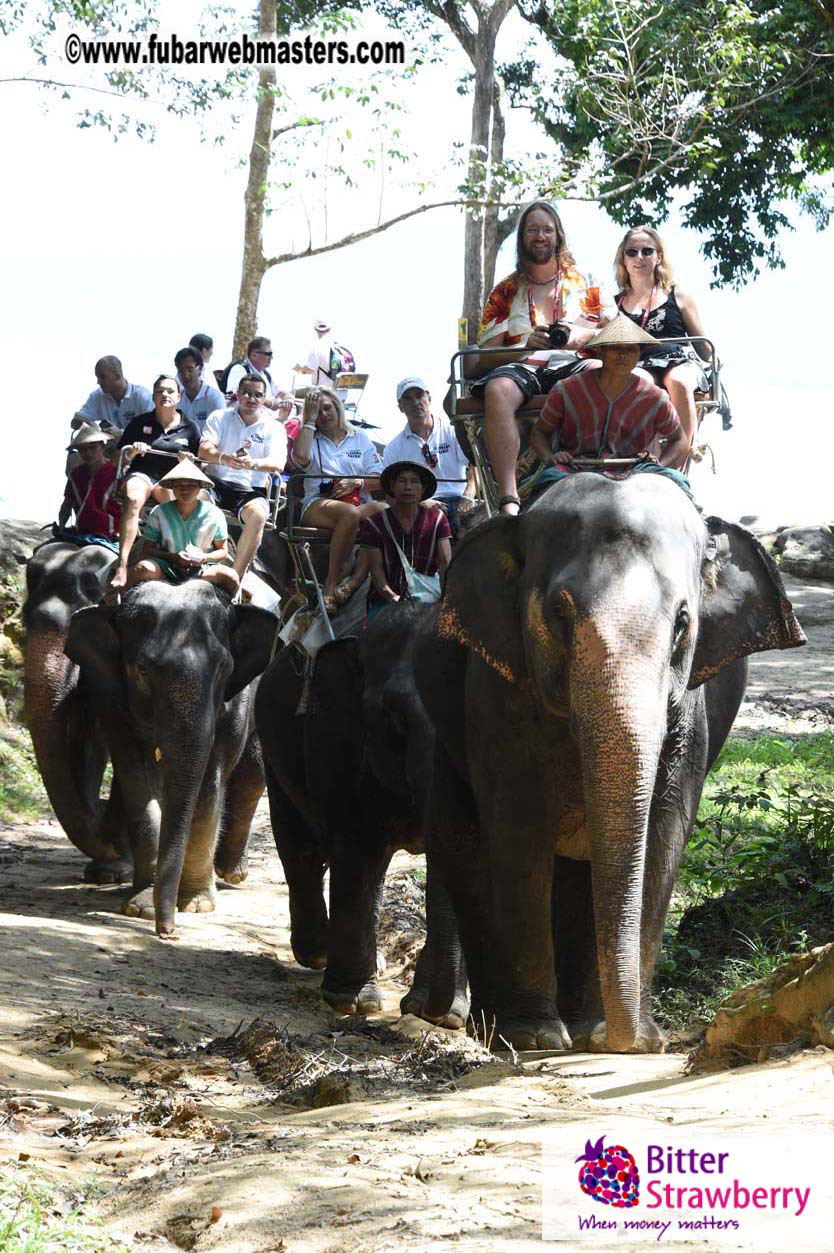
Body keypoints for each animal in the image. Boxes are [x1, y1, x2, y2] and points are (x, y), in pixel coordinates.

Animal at [64, 580, 278, 938]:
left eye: (224, 667)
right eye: (142, 669)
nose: (167, 931)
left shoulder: (236, 702)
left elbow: (210, 783)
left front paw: (196, 904)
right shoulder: (112, 699)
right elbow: (136, 777)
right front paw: (141, 908)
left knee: (253, 773)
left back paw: (231, 872)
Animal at [256, 602, 468, 1024]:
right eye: (395, 715)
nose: (431, 1015)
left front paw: (444, 1014)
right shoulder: (335, 734)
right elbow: (354, 846)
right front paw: (352, 1003)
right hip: (272, 747)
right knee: (301, 849)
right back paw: (316, 954)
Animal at [413, 472, 805, 1053]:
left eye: (683, 622)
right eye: (559, 613)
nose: (633, 1039)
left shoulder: (689, 713)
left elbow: (664, 835)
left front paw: (629, 1039)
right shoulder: (497, 693)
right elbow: (518, 831)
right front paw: (537, 1038)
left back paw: (574, 1024)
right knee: (461, 840)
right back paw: (489, 1025)